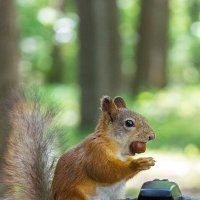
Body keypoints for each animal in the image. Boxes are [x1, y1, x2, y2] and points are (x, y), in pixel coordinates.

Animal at [3, 94, 156, 200]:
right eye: (129, 123)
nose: (152, 136)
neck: (116, 147)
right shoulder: (95, 152)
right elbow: (105, 170)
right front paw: (138, 163)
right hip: (77, 196)